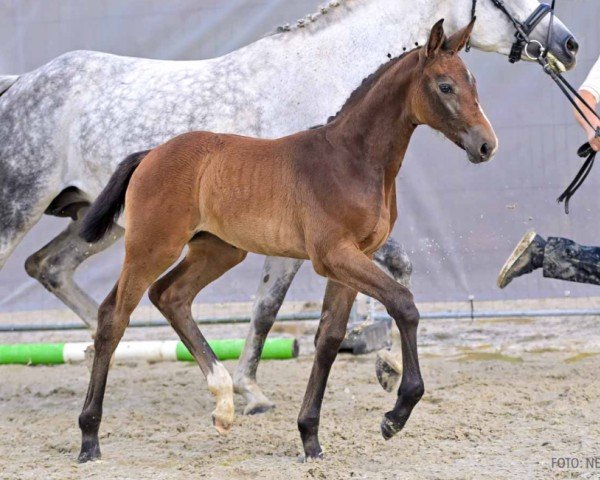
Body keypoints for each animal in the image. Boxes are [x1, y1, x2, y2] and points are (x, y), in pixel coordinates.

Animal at [76, 18, 496, 462]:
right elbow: (405, 304)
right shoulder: (334, 255)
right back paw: (90, 438)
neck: (353, 159)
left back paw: (224, 404)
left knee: (170, 296)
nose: (486, 144)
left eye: (472, 82)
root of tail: (151, 153)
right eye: (445, 86)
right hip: (152, 247)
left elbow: (329, 337)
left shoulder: (353, 258)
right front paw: (395, 415)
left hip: (218, 250)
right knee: (113, 317)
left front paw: (310, 437)